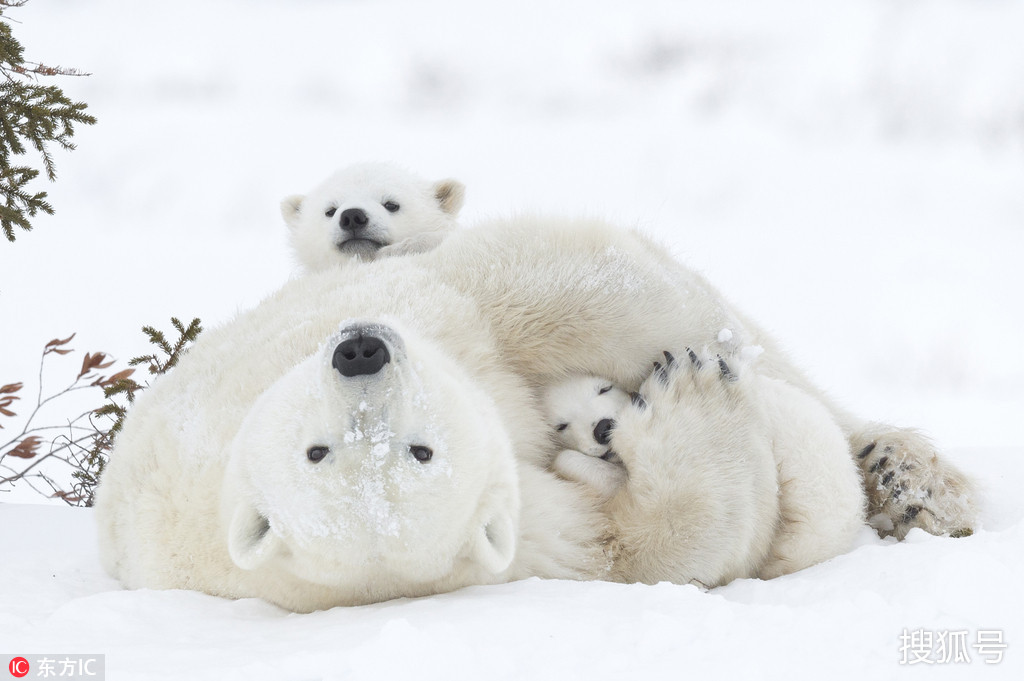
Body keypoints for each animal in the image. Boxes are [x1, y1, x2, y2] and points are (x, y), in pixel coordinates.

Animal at [94, 214, 974, 610]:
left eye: (414, 446)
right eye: (322, 451)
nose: (361, 350)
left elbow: (560, 290)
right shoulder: (518, 542)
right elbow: (646, 544)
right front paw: (689, 397)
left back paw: (912, 478)